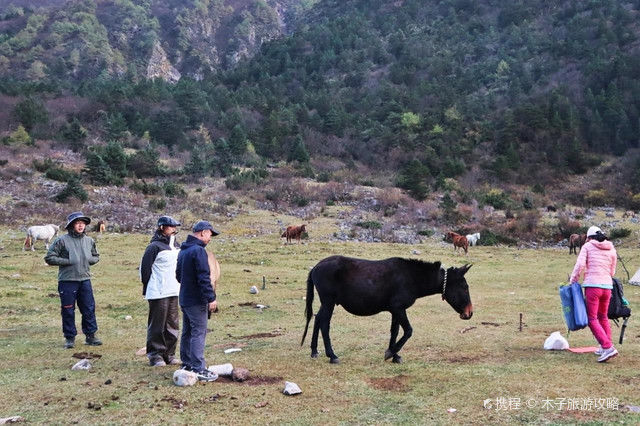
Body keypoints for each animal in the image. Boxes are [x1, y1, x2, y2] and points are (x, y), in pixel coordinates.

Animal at [302, 255, 476, 364]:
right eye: (464, 286)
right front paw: (391, 353)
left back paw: (314, 351)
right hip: (329, 302)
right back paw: (332, 356)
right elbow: (408, 331)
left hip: (327, 303)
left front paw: (394, 355)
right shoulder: (399, 309)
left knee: (317, 318)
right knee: (324, 324)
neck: (411, 277)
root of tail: (316, 266)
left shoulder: (395, 310)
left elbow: (395, 331)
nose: (469, 313)